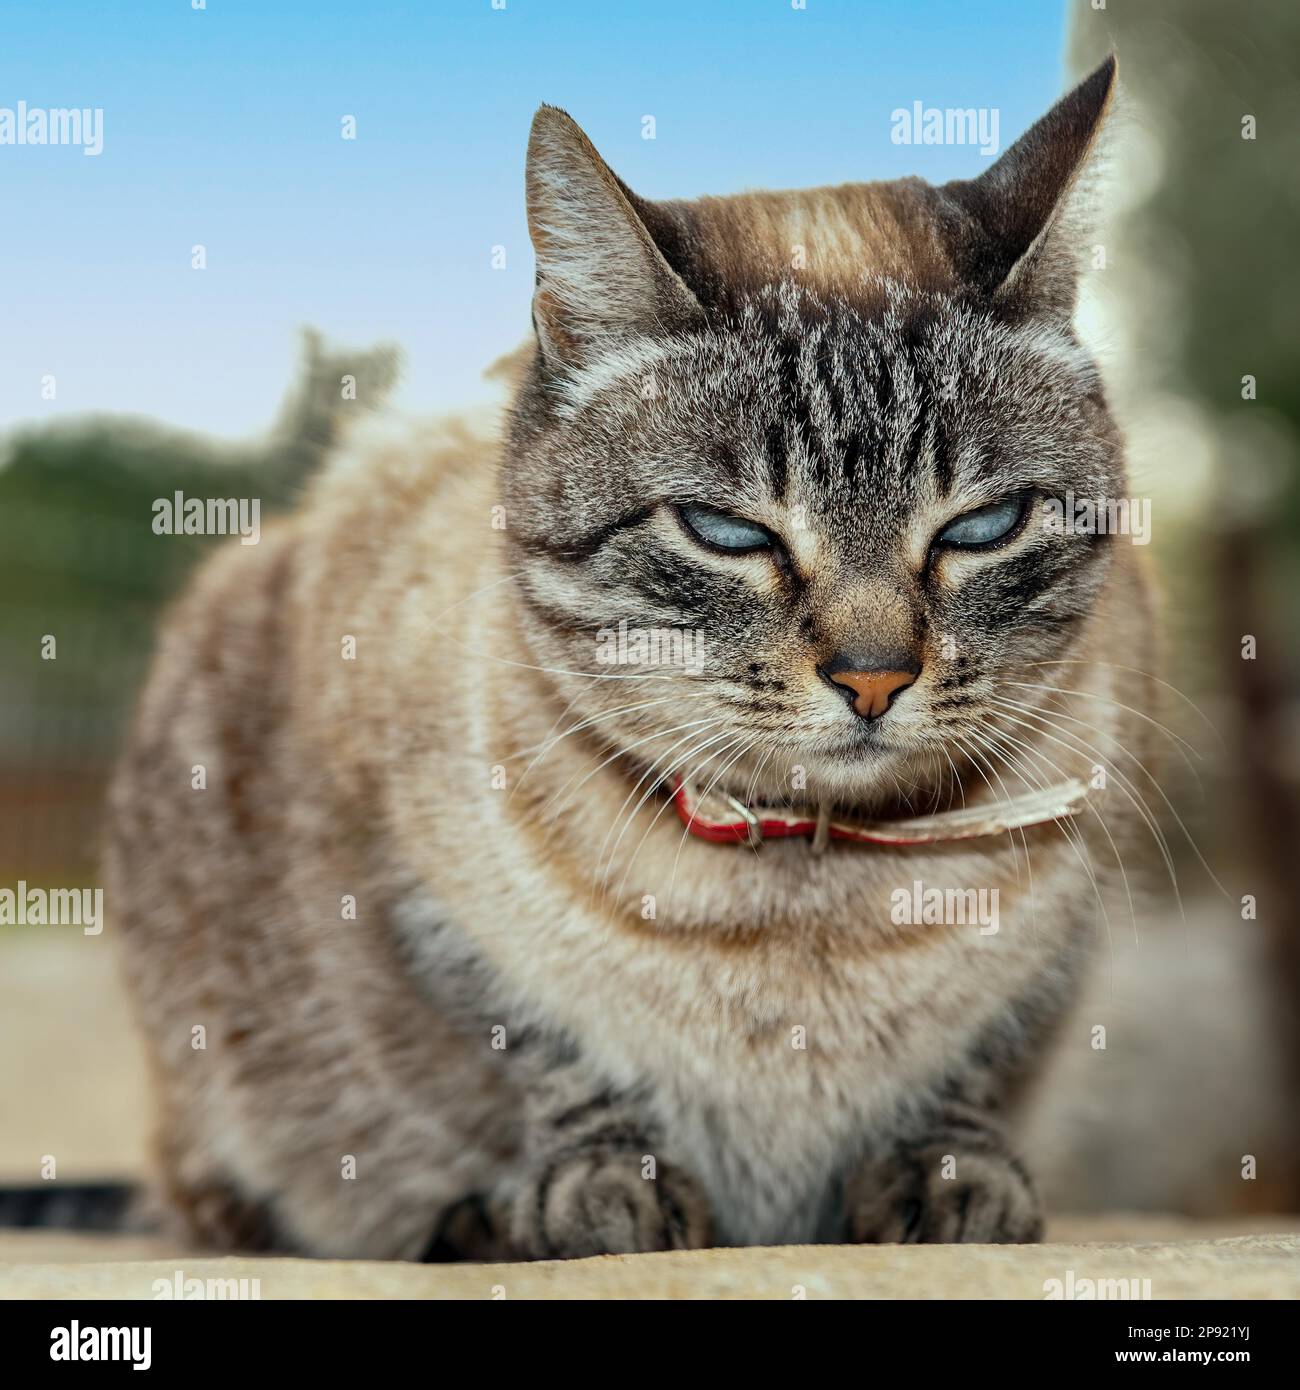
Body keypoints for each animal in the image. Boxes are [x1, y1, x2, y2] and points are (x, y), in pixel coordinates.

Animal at [104, 59, 1156, 1262]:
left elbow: (971, 1071)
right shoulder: (429, 914)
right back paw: (466, 1223)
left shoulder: (1055, 950)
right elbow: (557, 1063)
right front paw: (603, 1194)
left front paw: (952, 1183)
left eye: (982, 528)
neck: (813, 880)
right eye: (726, 532)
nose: (873, 678)